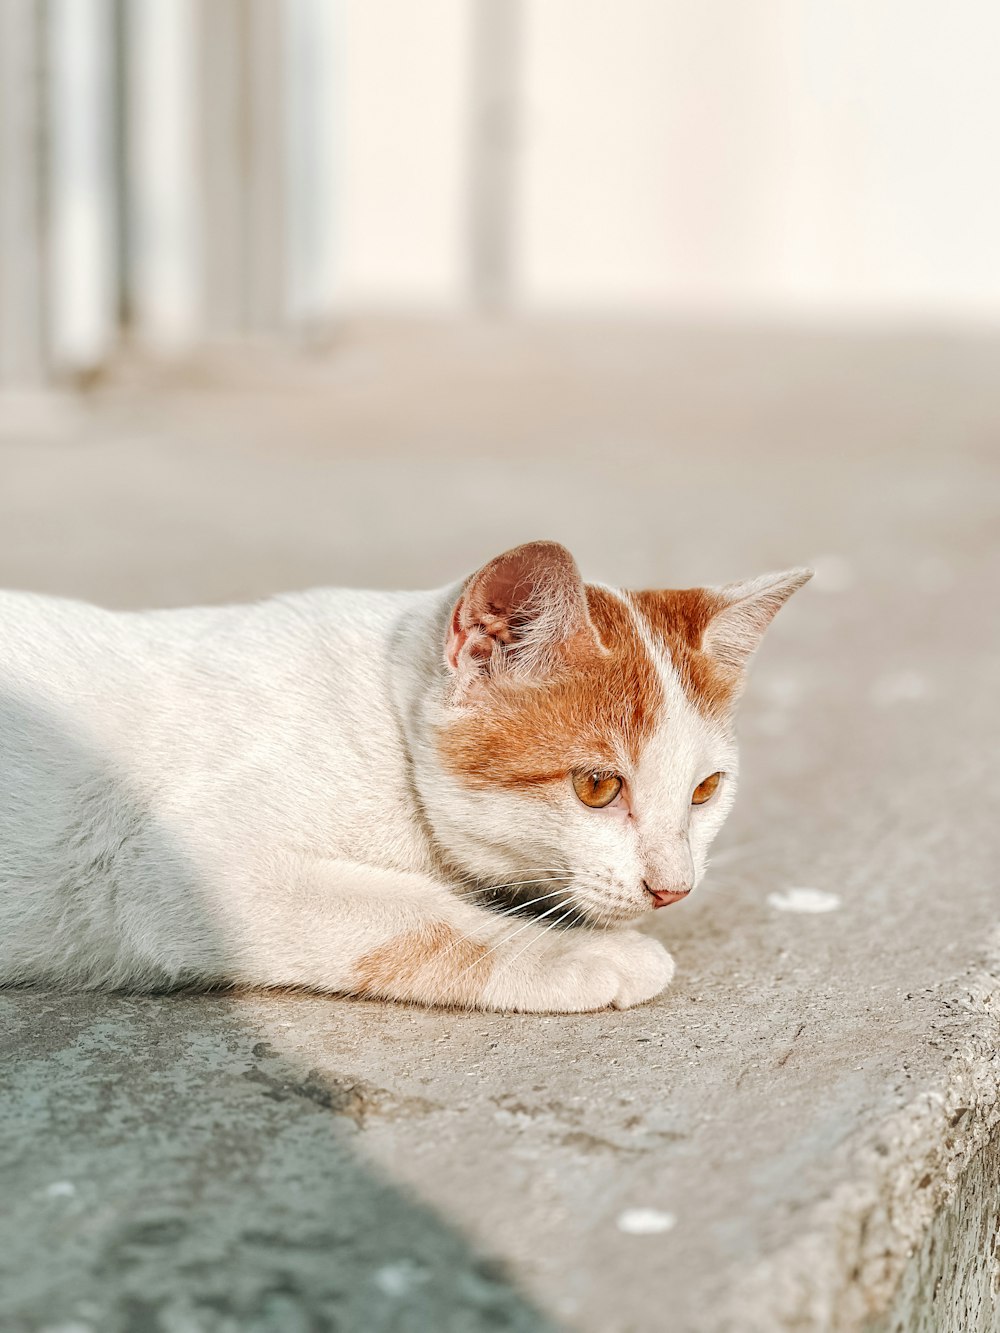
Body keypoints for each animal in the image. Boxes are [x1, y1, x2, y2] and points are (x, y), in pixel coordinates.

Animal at [0, 541, 816, 1007]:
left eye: (706, 791)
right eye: (597, 787)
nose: (673, 886)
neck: (382, 725)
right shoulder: (168, 868)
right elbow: (408, 913)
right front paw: (580, 956)